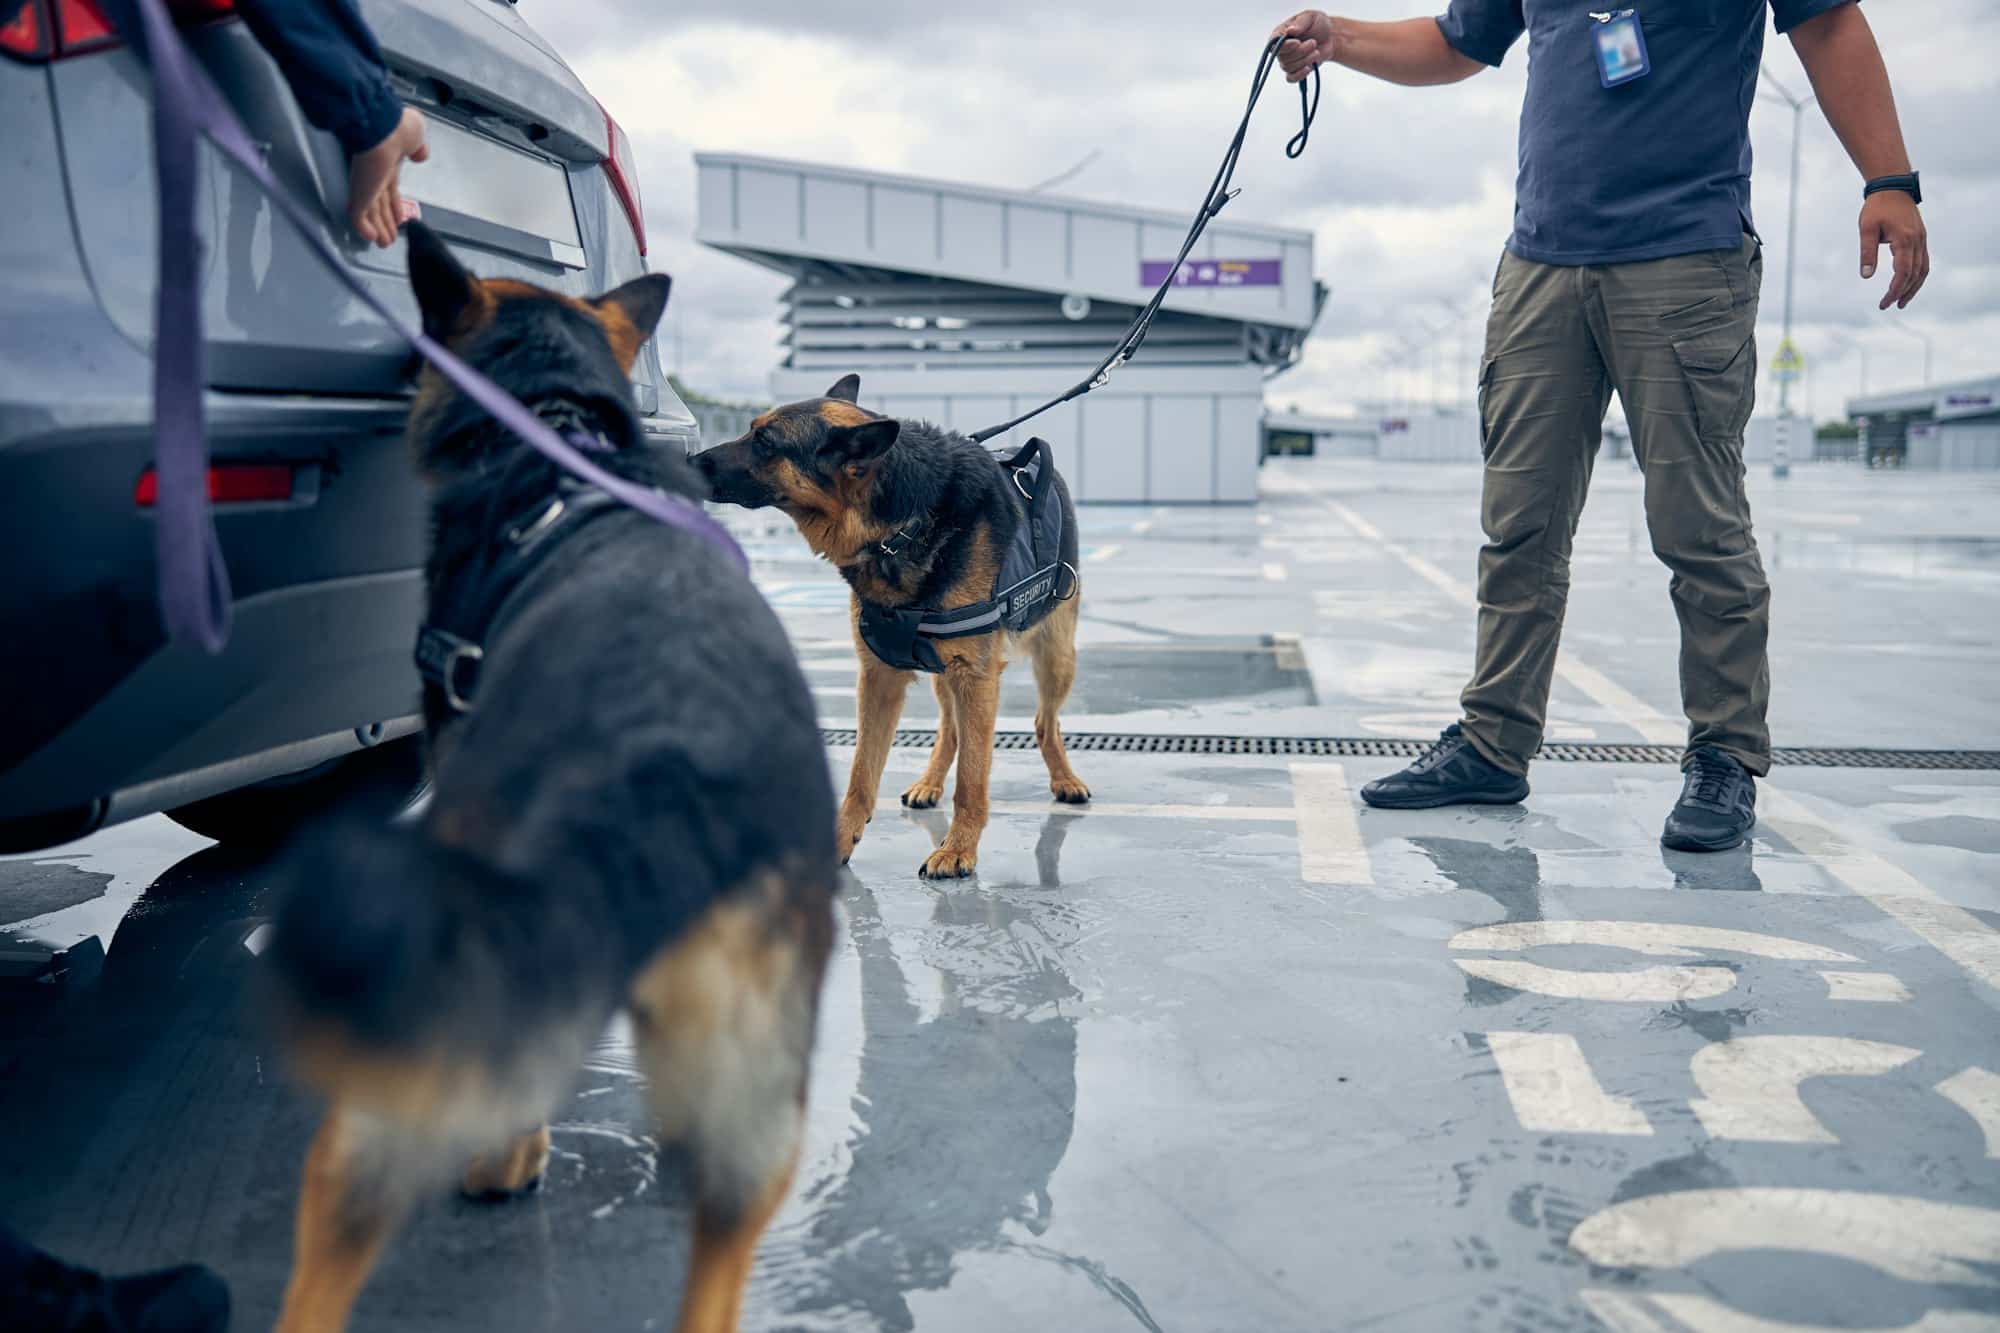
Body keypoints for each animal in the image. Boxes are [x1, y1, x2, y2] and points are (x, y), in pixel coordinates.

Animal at [692, 374, 1096, 876]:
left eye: (765, 442)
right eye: (752, 431)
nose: (689, 461)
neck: (903, 524)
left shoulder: (975, 676)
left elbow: (972, 777)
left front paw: (958, 849)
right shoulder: (880, 677)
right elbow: (861, 773)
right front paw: (841, 840)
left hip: (1055, 658)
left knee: (1044, 721)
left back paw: (1064, 779)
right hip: (948, 674)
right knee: (951, 729)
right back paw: (929, 782)